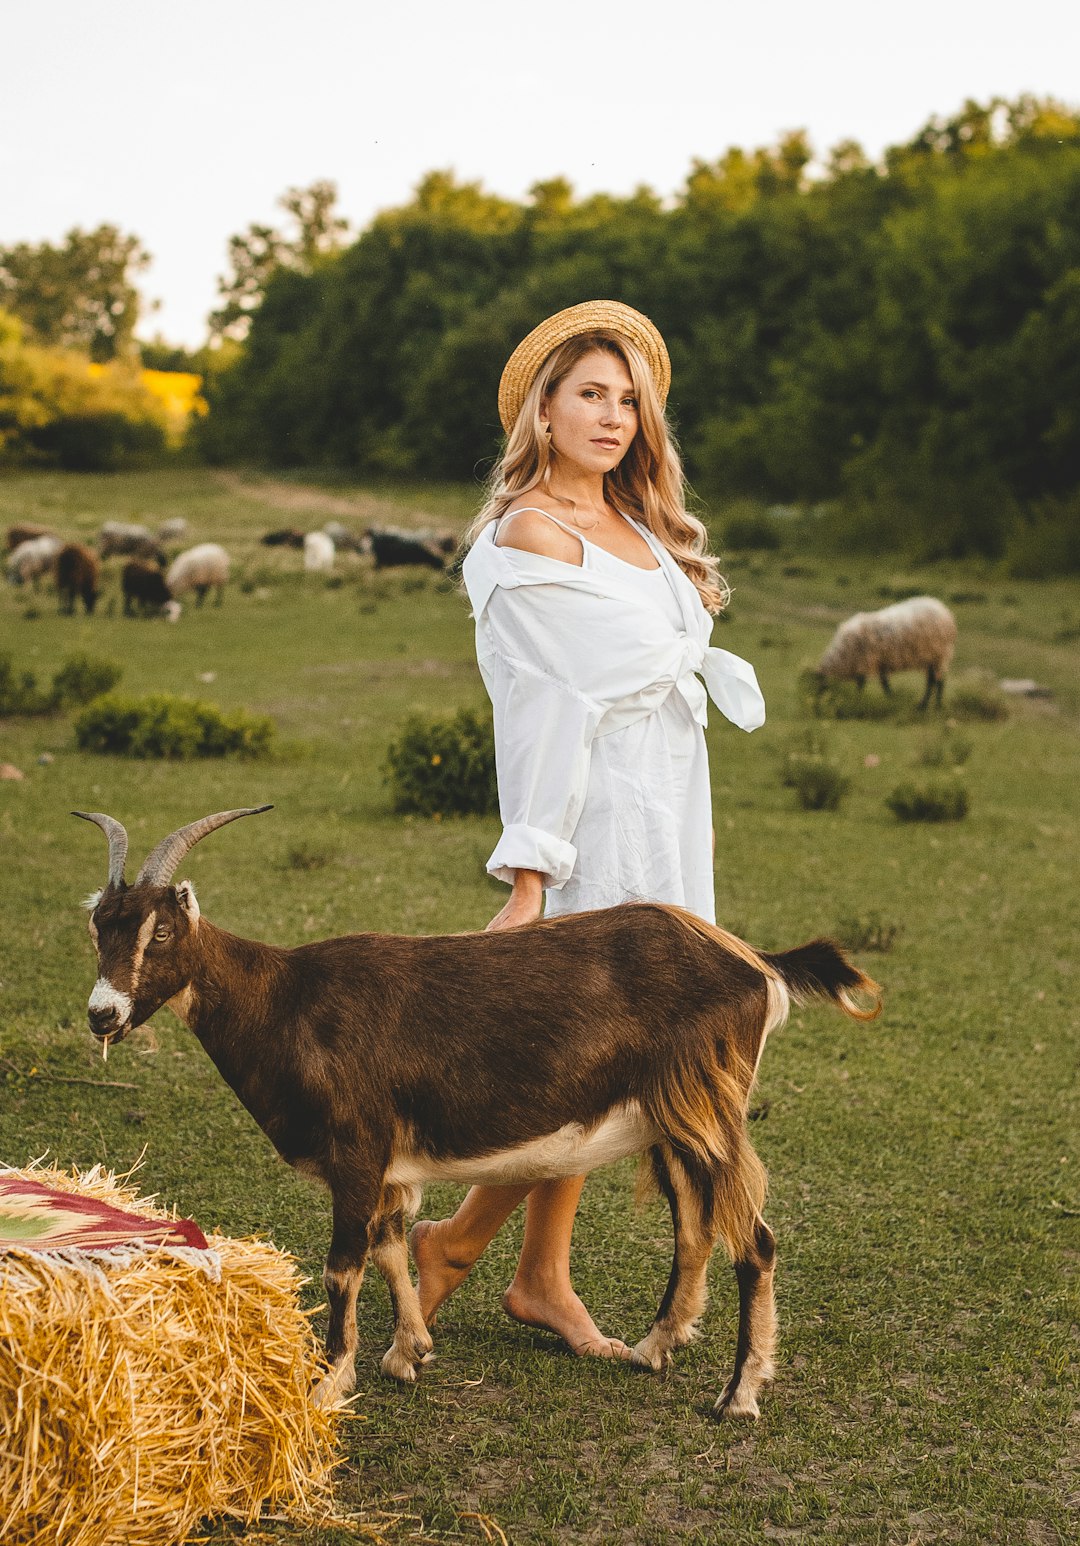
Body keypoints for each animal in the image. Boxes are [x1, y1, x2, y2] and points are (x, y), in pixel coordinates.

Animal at [76, 803, 883, 1416]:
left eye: (160, 931)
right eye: (98, 929)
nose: (102, 1013)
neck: (286, 999)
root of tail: (753, 963)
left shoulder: (356, 1153)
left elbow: (343, 1267)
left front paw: (329, 1384)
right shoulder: (389, 1169)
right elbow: (391, 1247)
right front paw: (410, 1352)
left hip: (707, 1109)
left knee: (755, 1240)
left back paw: (738, 1397)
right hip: (672, 1122)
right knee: (694, 1229)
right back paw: (651, 1349)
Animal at [815, 593, 957, 708]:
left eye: (821, 687)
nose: (816, 705)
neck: (842, 654)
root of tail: (944, 610)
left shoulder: (865, 661)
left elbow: (862, 683)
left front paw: (859, 699)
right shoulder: (879, 662)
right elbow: (884, 683)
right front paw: (891, 698)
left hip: (940, 654)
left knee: (939, 681)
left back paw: (935, 706)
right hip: (931, 657)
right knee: (932, 681)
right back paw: (923, 705)